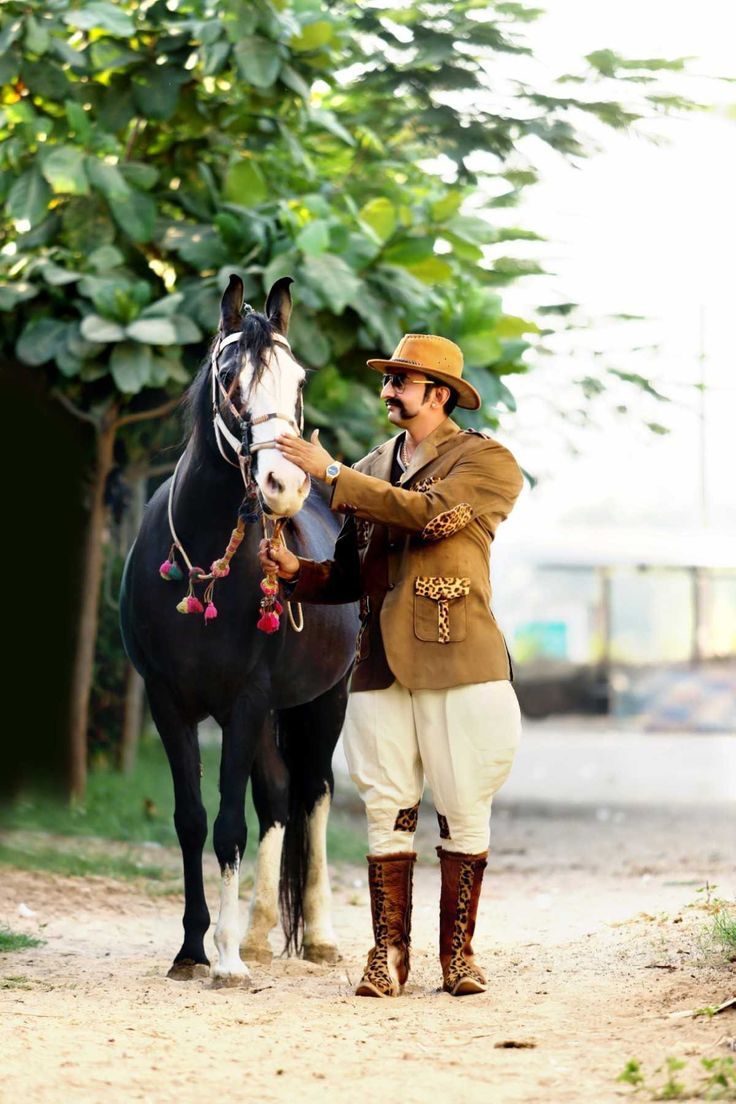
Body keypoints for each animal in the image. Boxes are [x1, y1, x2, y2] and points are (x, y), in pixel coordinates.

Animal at [120, 274, 358, 985]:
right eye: (230, 378)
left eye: (299, 381)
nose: (284, 482)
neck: (204, 557)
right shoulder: (170, 701)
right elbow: (193, 820)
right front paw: (194, 948)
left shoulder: (248, 699)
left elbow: (230, 824)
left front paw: (223, 960)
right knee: (278, 797)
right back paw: (255, 934)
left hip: (325, 700)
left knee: (312, 795)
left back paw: (319, 937)